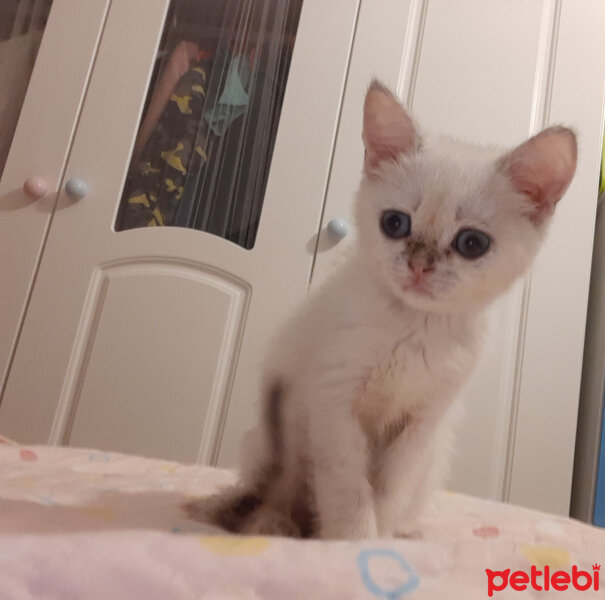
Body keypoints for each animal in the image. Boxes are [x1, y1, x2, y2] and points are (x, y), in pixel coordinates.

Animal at [185, 78, 576, 540]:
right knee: (272, 487)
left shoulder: (422, 421)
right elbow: (348, 487)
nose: (420, 265)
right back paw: (267, 523)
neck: (414, 326)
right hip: (273, 432)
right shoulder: (334, 400)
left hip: (434, 451)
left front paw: (382, 539)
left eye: (472, 244)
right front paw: (352, 541)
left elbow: (390, 488)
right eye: (395, 223)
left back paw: (405, 531)